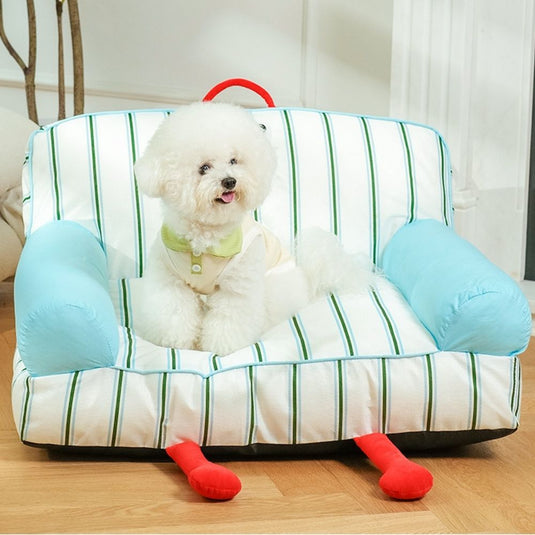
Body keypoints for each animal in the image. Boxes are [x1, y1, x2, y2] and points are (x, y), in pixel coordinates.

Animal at [131, 101, 372, 356]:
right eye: (204, 168)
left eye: (233, 161)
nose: (229, 181)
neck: (206, 236)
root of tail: (307, 282)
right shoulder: (171, 282)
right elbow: (173, 314)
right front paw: (177, 343)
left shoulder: (237, 288)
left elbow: (229, 319)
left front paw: (219, 347)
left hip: (273, 289)